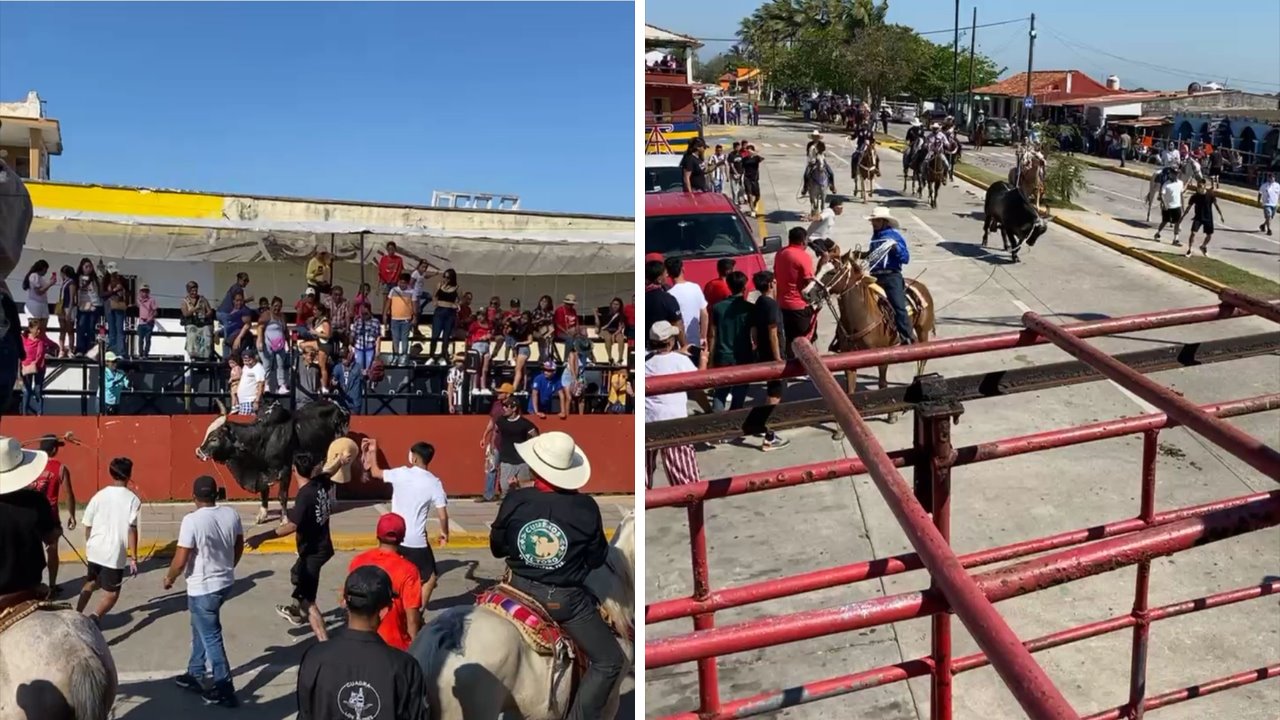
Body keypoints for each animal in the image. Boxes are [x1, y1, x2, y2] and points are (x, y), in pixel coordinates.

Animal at [193, 397, 350, 520]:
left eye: (214, 438)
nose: (199, 452)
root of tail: (338, 407)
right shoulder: (263, 473)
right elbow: (264, 493)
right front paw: (262, 515)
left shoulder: (285, 470)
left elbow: (282, 495)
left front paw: (284, 519)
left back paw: (332, 501)